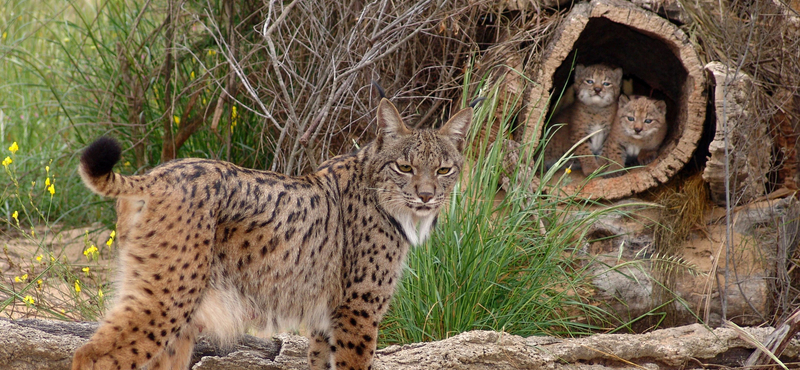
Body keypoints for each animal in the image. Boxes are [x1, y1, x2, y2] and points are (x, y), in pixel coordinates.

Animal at [72, 98, 472, 370]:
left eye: (444, 169)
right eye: (404, 167)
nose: (427, 195)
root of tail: (156, 174)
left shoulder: (326, 318)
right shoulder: (358, 308)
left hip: (169, 302)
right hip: (169, 294)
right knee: (88, 353)